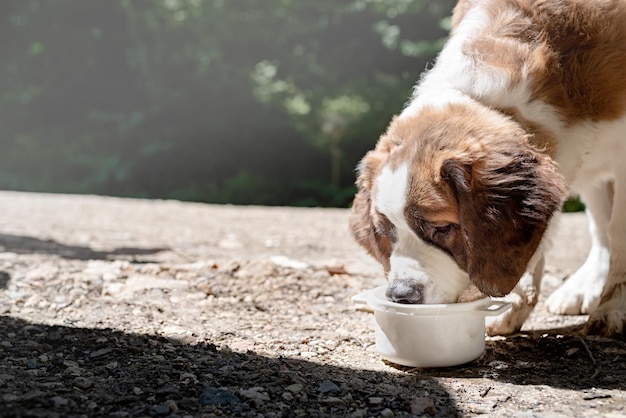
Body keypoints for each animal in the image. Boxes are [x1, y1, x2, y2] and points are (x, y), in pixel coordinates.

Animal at [348, 0, 624, 338]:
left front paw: (613, 306)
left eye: (442, 228)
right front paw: (512, 302)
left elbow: (619, 232)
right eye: (385, 232)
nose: (401, 295)